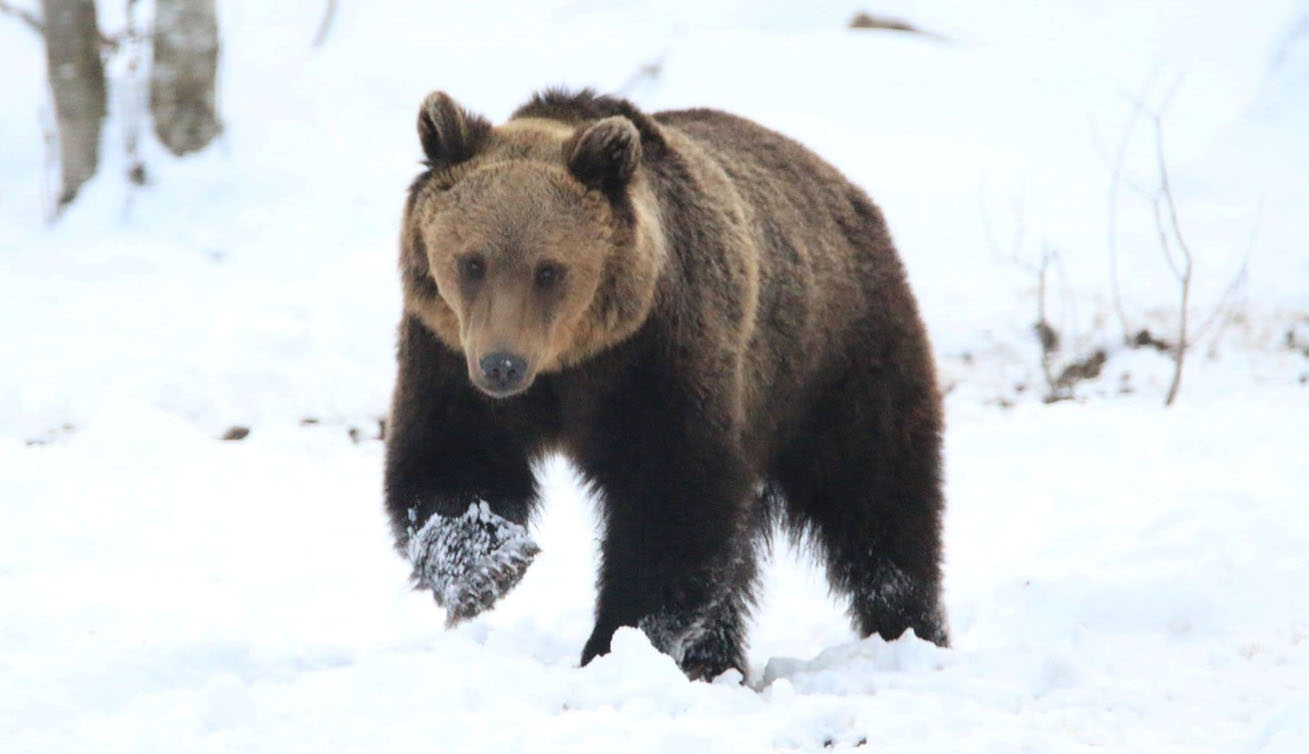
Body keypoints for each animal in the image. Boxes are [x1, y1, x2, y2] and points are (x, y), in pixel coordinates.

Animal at [382, 87, 947, 675]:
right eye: (472, 262)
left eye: (548, 269)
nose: (502, 365)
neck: (570, 364)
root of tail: (841, 185)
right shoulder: (448, 356)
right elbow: (451, 461)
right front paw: (487, 569)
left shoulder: (659, 362)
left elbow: (669, 502)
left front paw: (615, 640)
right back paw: (717, 660)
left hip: (832, 363)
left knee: (879, 504)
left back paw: (910, 632)